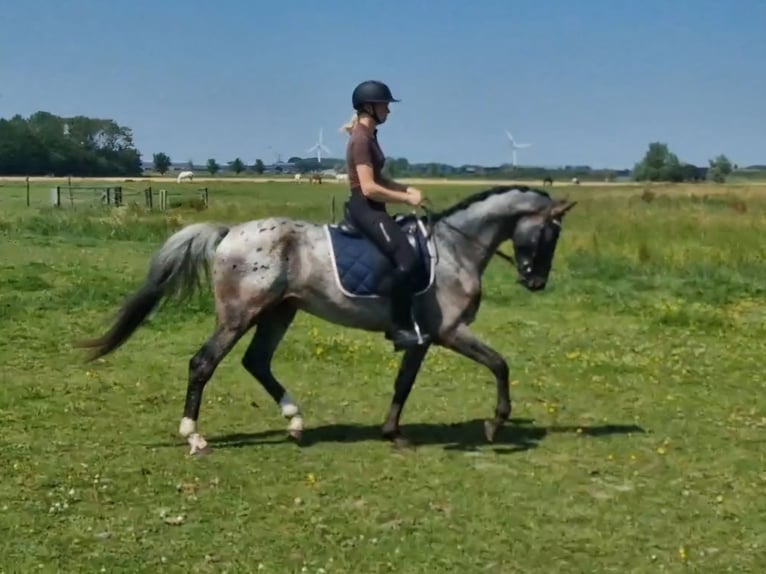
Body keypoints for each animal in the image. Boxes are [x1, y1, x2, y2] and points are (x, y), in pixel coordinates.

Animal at [79, 187, 584, 456]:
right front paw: (495, 424)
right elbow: (499, 364)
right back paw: (195, 436)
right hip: (240, 314)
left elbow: (404, 383)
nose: (536, 281)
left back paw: (295, 421)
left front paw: (392, 431)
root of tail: (229, 234)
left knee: (256, 363)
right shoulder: (447, 333)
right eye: (550, 233)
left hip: (279, 312)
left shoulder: (423, 340)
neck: (456, 248)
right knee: (203, 363)